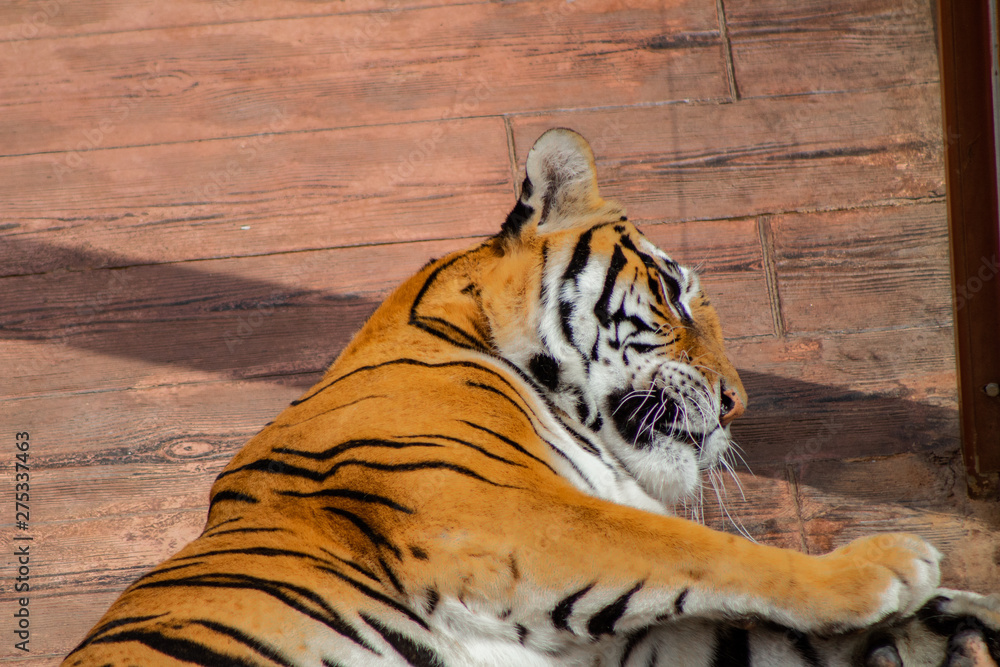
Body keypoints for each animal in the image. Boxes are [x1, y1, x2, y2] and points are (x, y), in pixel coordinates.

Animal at [64, 128, 999, 667]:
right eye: (674, 295)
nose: (737, 401)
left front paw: (949, 626)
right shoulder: (501, 518)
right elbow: (709, 549)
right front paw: (886, 569)